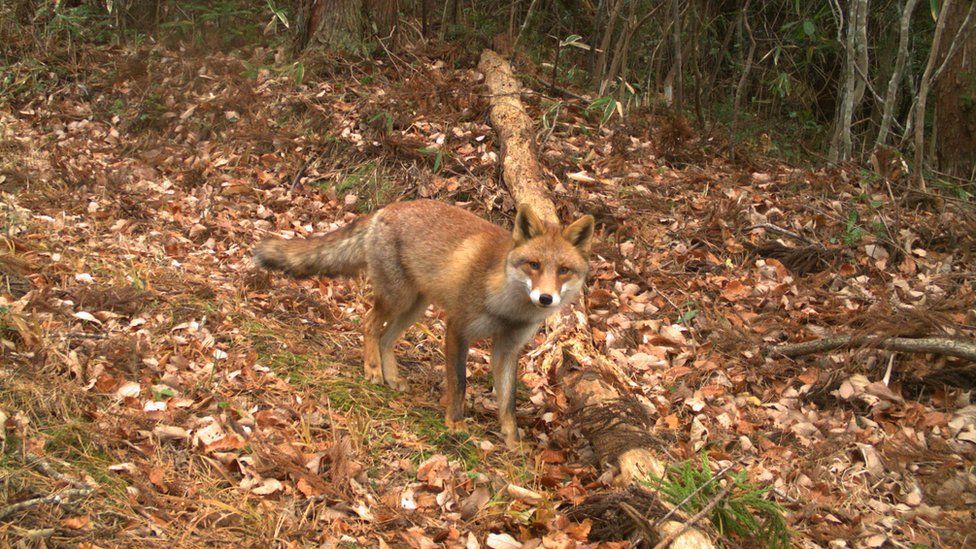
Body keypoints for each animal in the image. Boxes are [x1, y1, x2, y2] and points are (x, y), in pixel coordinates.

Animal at [254, 199, 596, 448]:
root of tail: (386, 208)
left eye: (563, 270)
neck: (507, 308)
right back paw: (372, 369)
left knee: (387, 338)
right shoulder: (458, 329)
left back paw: (391, 376)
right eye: (534, 265)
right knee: (369, 324)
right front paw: (454, 423)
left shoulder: (507, 349)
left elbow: (508, 402)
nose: (545, 298)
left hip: (414, 307)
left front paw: (512, 442)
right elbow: (459, 382)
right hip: (398, 298)